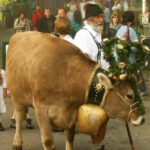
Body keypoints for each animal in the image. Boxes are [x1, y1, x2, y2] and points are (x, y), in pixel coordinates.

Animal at [5, 31, 144, 150]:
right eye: (130, 95)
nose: (142, 118)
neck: (65, 74)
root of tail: (19, 34)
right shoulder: (41, 109)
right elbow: (48, 141)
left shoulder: (71, 113)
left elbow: (70, 137)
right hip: (17, 96)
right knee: (19, 118)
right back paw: (17, 142)